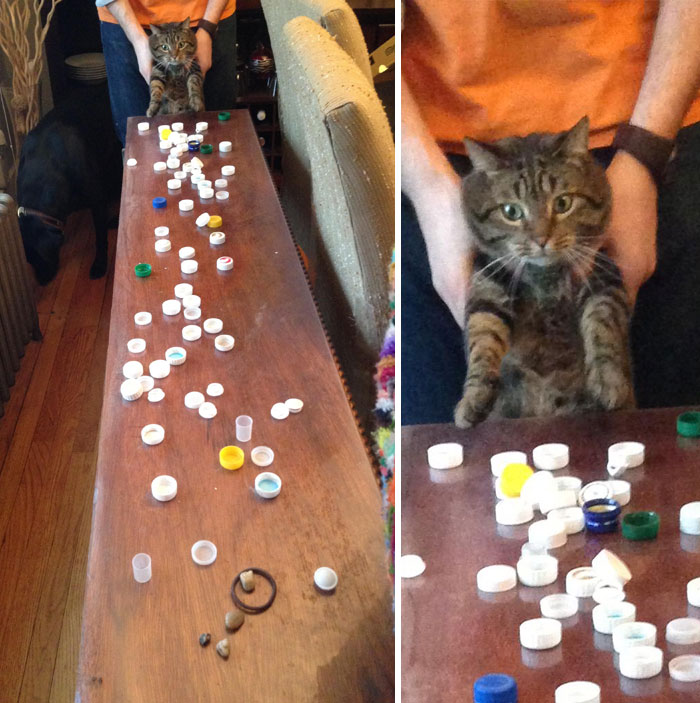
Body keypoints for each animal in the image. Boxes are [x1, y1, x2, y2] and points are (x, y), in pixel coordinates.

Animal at [17, 86, 121, 284]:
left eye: (39, 256)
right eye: (29, 260)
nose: (42, 281)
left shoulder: (96, 201)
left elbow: (100, 236)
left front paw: (99, 263)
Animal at [454, 115, 636, 428]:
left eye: (563, 203)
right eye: (511, 212)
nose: (541, 240)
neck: (545, 280)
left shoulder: (602, 278)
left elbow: (602, 325)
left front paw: (608, 381)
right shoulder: (487, 289)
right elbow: (483, 341)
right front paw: (473, 398)